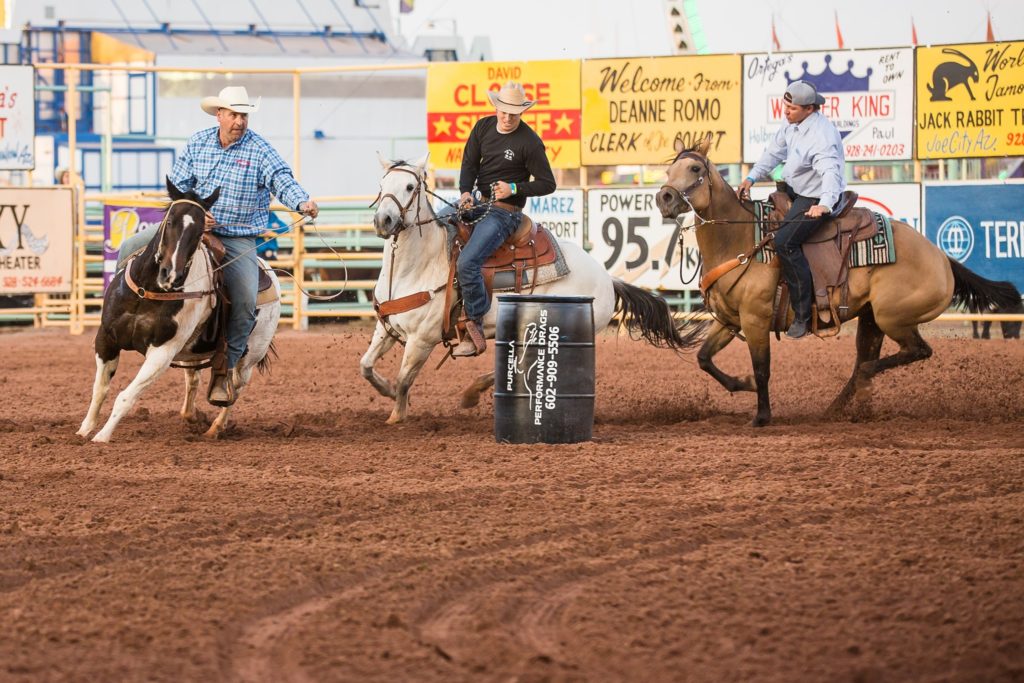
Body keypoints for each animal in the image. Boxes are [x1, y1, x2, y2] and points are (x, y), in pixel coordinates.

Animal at [76, 180, 280, 444]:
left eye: (199, 230)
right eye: (170, 220)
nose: (170, 275)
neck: (147, 292)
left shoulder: (162, 353)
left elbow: (125, 397)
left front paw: (102, 436)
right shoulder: (106, 339)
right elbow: (99, 389)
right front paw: (84, 430)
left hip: (250, 355)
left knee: (234, 389)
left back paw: (215, 427)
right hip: (191, 351)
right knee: (193, 380)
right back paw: (192, 417)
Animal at [360, 152, 704, 423]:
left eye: (409, 187)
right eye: (381, 185)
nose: (383, 221)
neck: (419, 266)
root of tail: (608, 278)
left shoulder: (423, 339)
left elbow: (405, 379)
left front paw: (396, 415)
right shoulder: (386, 328)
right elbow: (365, 366)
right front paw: (386, 391)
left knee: (522, 362)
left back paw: (473, 392)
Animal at [655, 137, 1024, 428]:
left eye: (695, 169)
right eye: (669, 171)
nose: (664, 198)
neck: (740, 238)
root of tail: (941, 257)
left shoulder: (755, 320)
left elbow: (762, 368)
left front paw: (761, 416)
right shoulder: (730, 320)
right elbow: (704, 358)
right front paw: (741, 384)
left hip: (893, 317)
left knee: (912, 352)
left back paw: (863, 381)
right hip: (872, 319)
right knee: (866, 359)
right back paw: (841, 407)